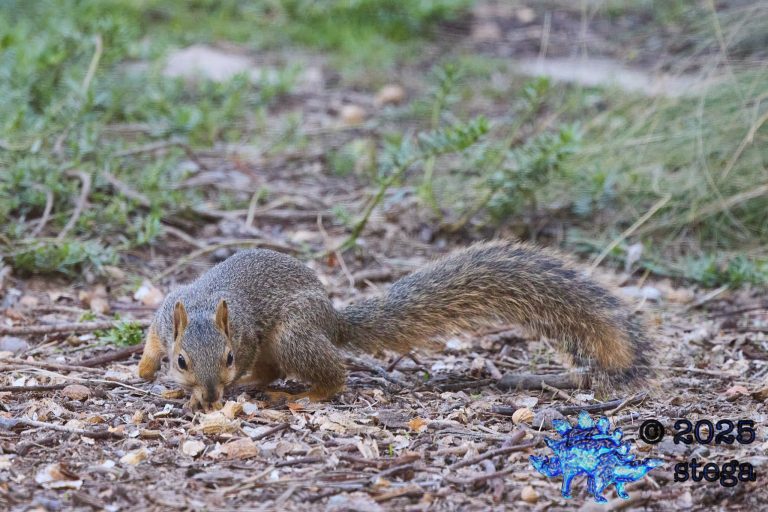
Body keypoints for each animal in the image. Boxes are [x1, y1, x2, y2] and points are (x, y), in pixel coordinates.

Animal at [137, 240, 652, 410]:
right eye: (181, 361)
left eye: (226, 357)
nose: (211, 397)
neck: (203, 306)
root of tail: (333, 319)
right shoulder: (166, 314)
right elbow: (150, 337)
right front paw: (147, 370)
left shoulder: (244, 342)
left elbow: (244, 366)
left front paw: (213, 395)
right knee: (273, 371)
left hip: (292, 335)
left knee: (327, 373)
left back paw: (306, 394)